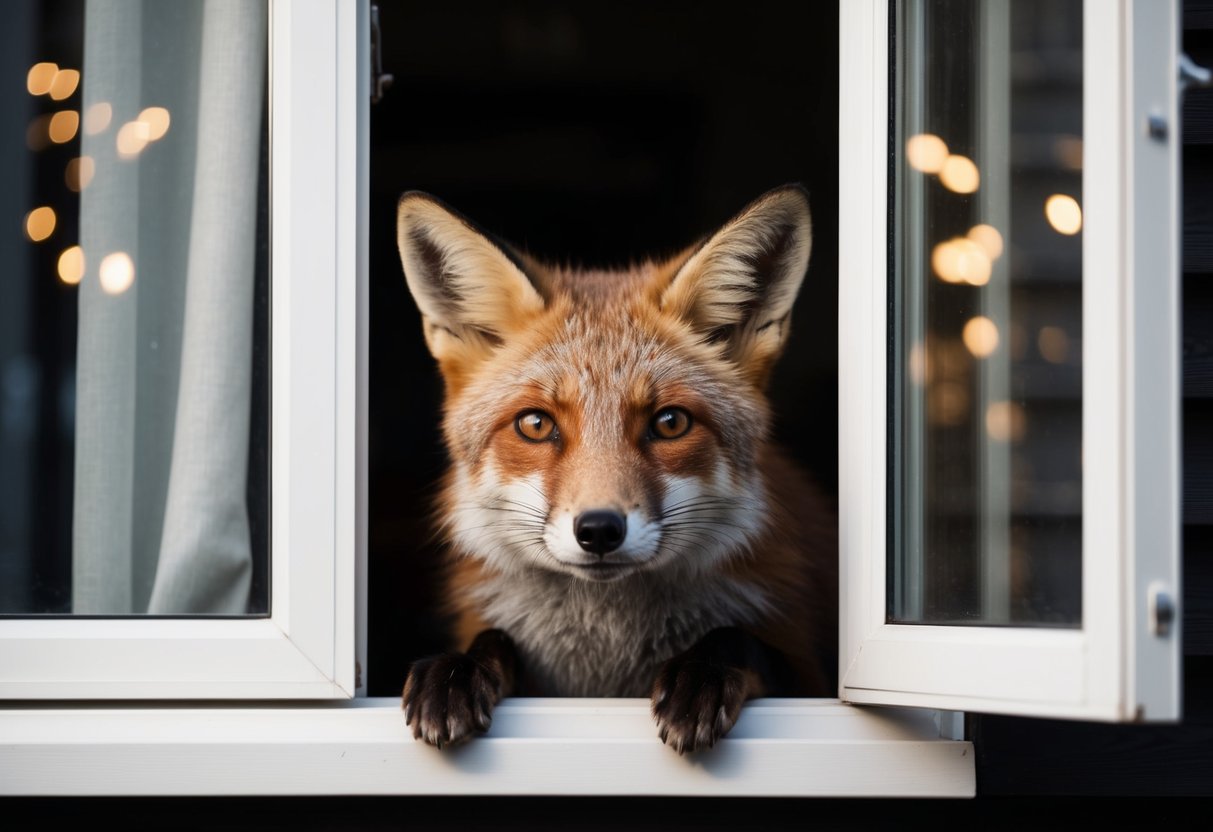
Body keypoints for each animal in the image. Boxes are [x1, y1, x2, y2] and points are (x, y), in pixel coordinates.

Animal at [396, 184, 837, 754]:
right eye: (535, 424)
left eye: (670, 423)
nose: (599, 530)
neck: (607, 653)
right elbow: (494, 638)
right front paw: (457, 671)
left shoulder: (809, 676)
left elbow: (739, 639)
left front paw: (702, 672)